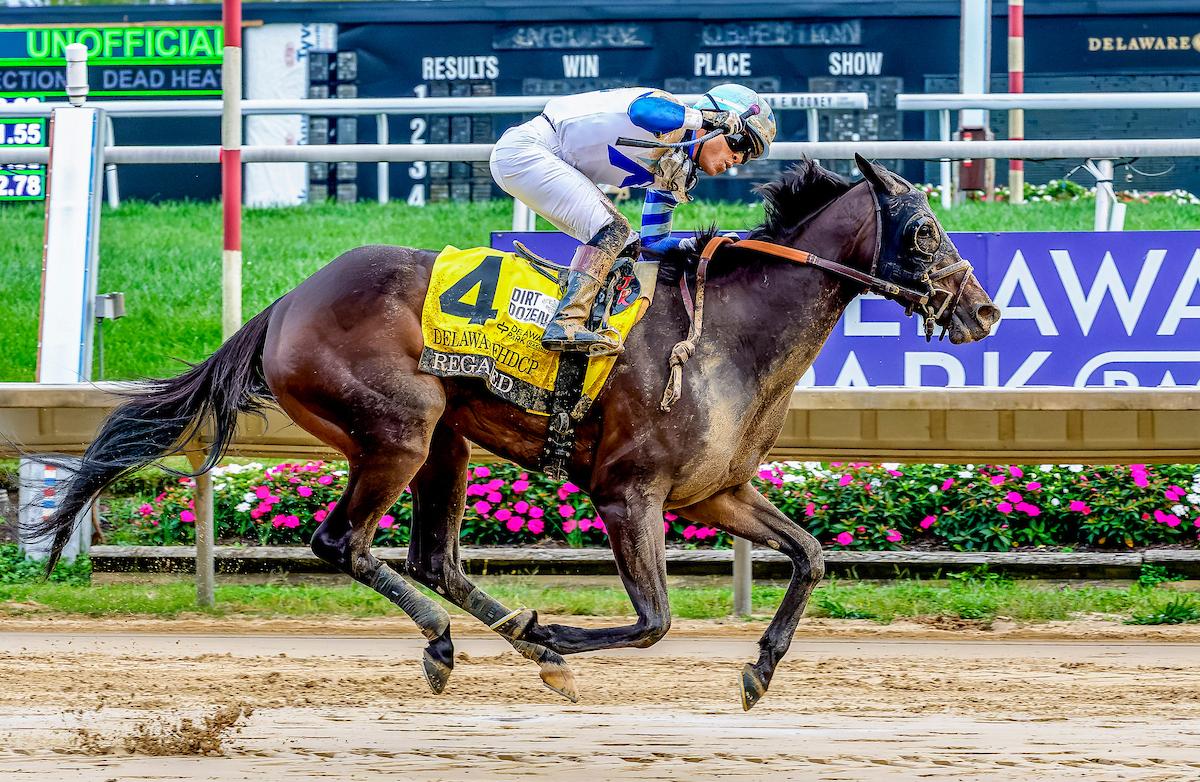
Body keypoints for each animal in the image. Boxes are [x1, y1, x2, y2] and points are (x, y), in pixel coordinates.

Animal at [29, 155, 998, 710]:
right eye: (923, 228)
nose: (984, 310)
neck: (728, 331)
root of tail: (285, 304)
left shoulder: (715, 491)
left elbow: (810, 555)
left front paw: (759, 668)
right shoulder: (628, 493)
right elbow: (654, 620)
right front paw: (561, 634)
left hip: (446, 443)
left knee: (433, 558)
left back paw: (512, 640)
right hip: (399, 432)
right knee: (343, 543)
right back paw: (464, 644)